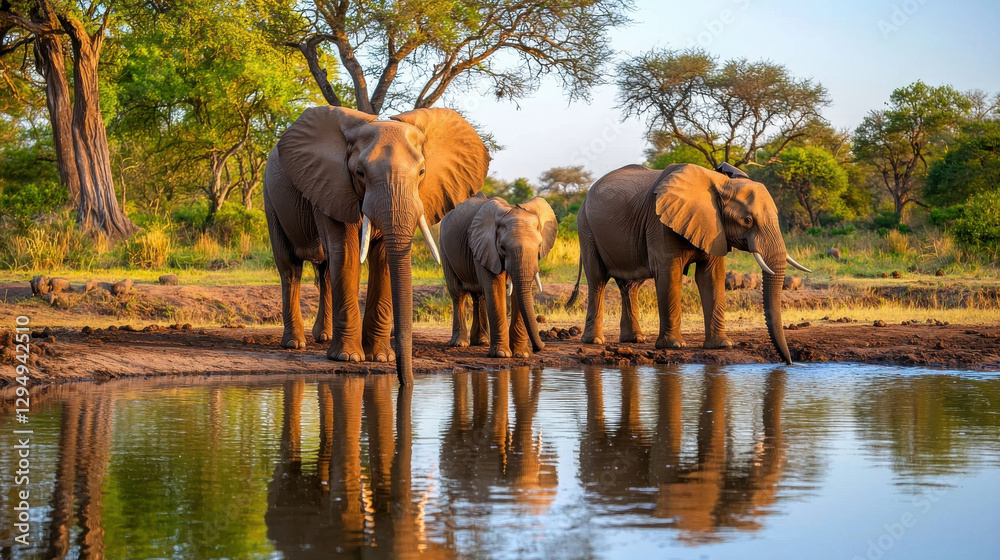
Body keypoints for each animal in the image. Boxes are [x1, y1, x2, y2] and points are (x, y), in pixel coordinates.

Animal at [263, 106, 490, 383]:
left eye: (422, 172)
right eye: (360, 173)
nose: (405, 380)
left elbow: (382, 259)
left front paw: (381, 357)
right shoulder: (332, 184)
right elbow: (346, 252)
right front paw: (348, 358)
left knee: (325, 272)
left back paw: (324, 337)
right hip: (271, 198)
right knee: (290, 267)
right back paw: (295, 343)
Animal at [439, 194, 557, 358]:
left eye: (539, 246)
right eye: (502, 247)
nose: (539, 347)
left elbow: (517, 292)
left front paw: (521, 354)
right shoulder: (486, 247)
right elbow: (495, 287)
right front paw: (501, 354)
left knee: (480, 296)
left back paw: (481, 341)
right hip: (445, 250)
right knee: (459, 294)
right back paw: (460, 343)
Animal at [567, 163, 810, 364]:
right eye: (747, 221)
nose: (788, 362)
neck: (720, 183)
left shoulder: (715, 227)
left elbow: (711, 277)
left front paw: (722, 346)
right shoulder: (659, 222)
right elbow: (669, 274)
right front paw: (674, 346)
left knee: (630, 285)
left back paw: (634, 340)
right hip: (586, 228)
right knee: (598, 279)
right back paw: (595, 342)